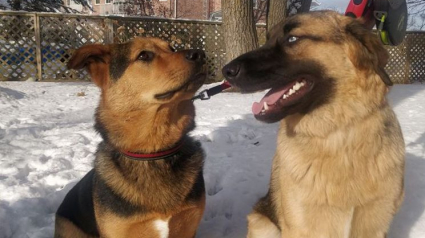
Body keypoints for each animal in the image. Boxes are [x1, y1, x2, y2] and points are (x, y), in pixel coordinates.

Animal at [222, 10, 404, 238]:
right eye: (268, 39)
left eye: (292, 39)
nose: (226, 71)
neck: (338, 135)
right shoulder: (300, 226)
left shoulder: (375, 226)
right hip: (263, 224)